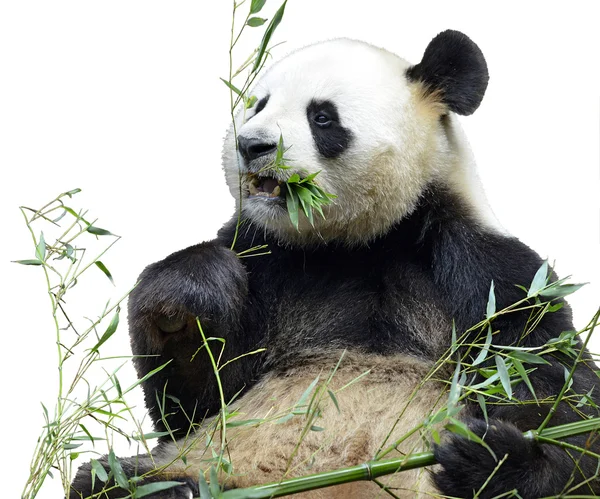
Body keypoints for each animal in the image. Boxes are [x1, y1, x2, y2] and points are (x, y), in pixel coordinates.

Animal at [71, 31, 600, 499]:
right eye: (258, 104)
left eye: (322, 117)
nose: (251, 145)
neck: (357, 243)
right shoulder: (264, 257)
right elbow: (196, 402)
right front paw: (188, 296)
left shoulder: (486, 269)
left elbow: (551, 390)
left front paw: (495, 459)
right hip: (213, 465)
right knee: (113, 478)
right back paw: (168, 490)